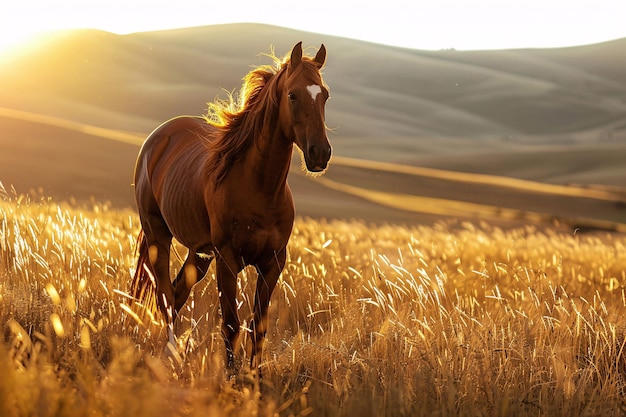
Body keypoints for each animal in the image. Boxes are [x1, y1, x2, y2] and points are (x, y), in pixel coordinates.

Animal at [130, 42, 330, 372]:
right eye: (293, 95)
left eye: (324, 95)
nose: (320, 153)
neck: (260, 188)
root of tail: (158, 137)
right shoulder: (227, 260)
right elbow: (231, 324)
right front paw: (232, 378)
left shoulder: (273, 262)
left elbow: (259, 326)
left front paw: (254, 378)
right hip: (159, 236)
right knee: (165, 296)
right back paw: (170, 355)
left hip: (199, 252)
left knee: (177, 292)